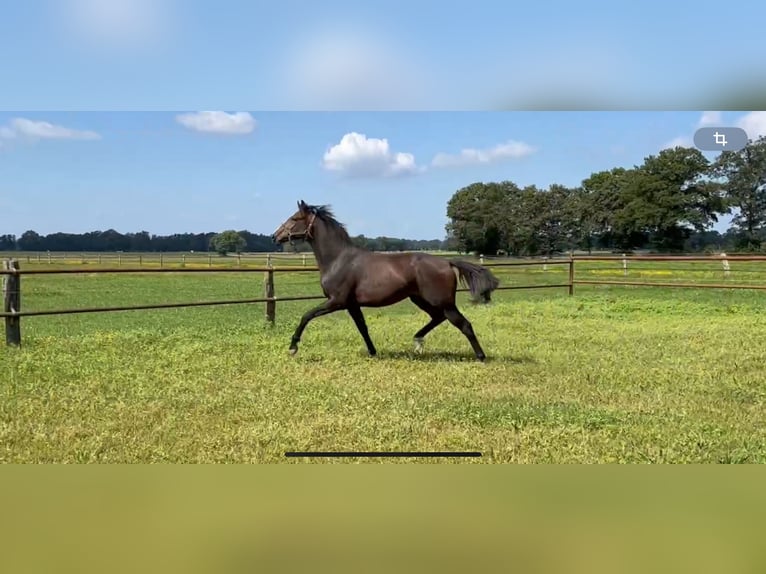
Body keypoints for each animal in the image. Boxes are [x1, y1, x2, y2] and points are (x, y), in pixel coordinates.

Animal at [272, 201, 500, 360]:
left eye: (294, 218)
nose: (275, 236)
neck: (338, 259)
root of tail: (447, 262)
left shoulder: (336, 301)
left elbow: (306, 316)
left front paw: (292, 347)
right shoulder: (352, 304)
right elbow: (362, 327)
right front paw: (373, 352)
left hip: (443, 303)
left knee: (464, 324)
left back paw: (481, 356)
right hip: (421, 299)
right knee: (438, 318)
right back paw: (417, 341)